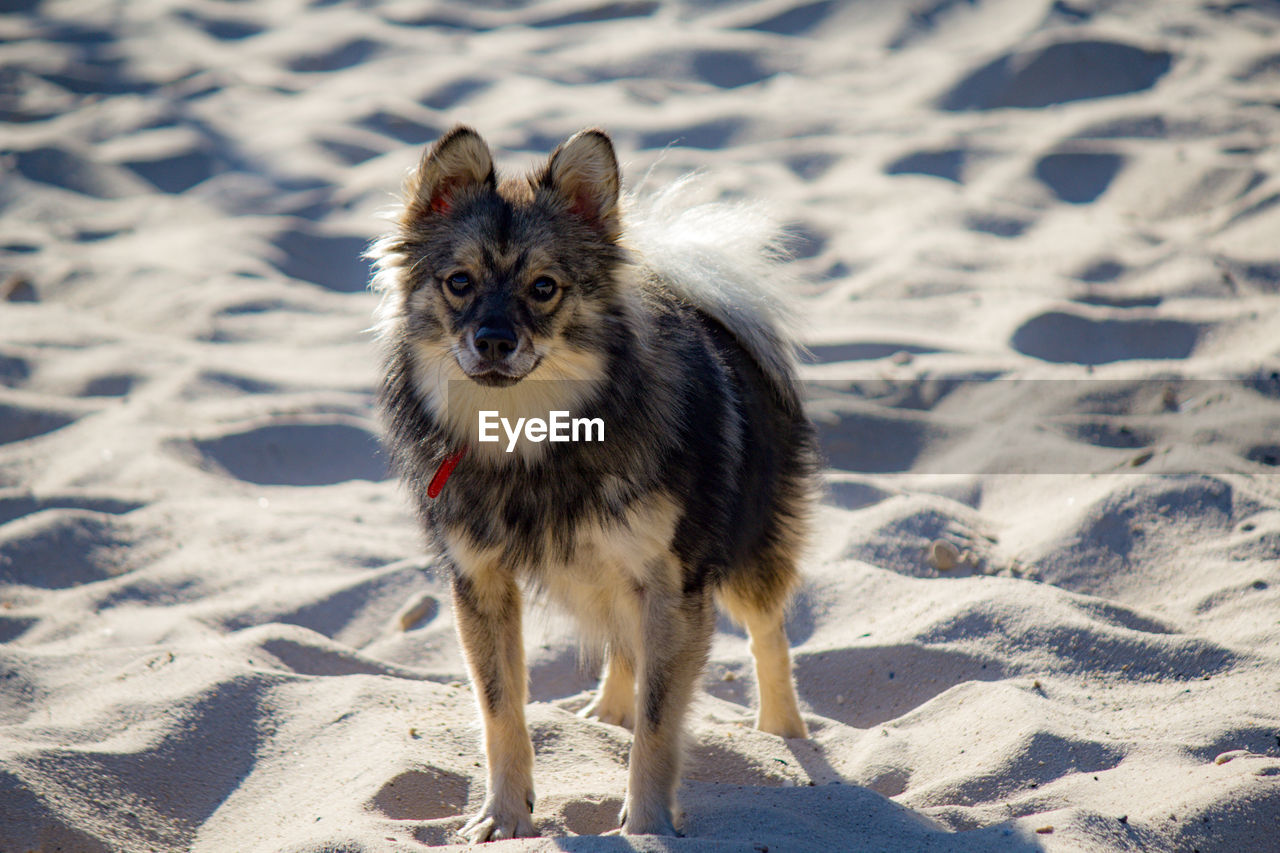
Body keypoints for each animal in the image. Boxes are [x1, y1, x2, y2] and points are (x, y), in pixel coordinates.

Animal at [371, 126, 814, 835]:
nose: (493, 340)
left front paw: (648, 824)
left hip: (747, 554)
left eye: (544, 287)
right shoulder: (481, 583)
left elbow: (660, 722)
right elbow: (501, 710)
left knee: (767, 636)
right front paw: (504, 815)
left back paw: (783, 733)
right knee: (623, 646)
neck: (532, 441)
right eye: (459, 282)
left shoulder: (672, 585)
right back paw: (607, 715)